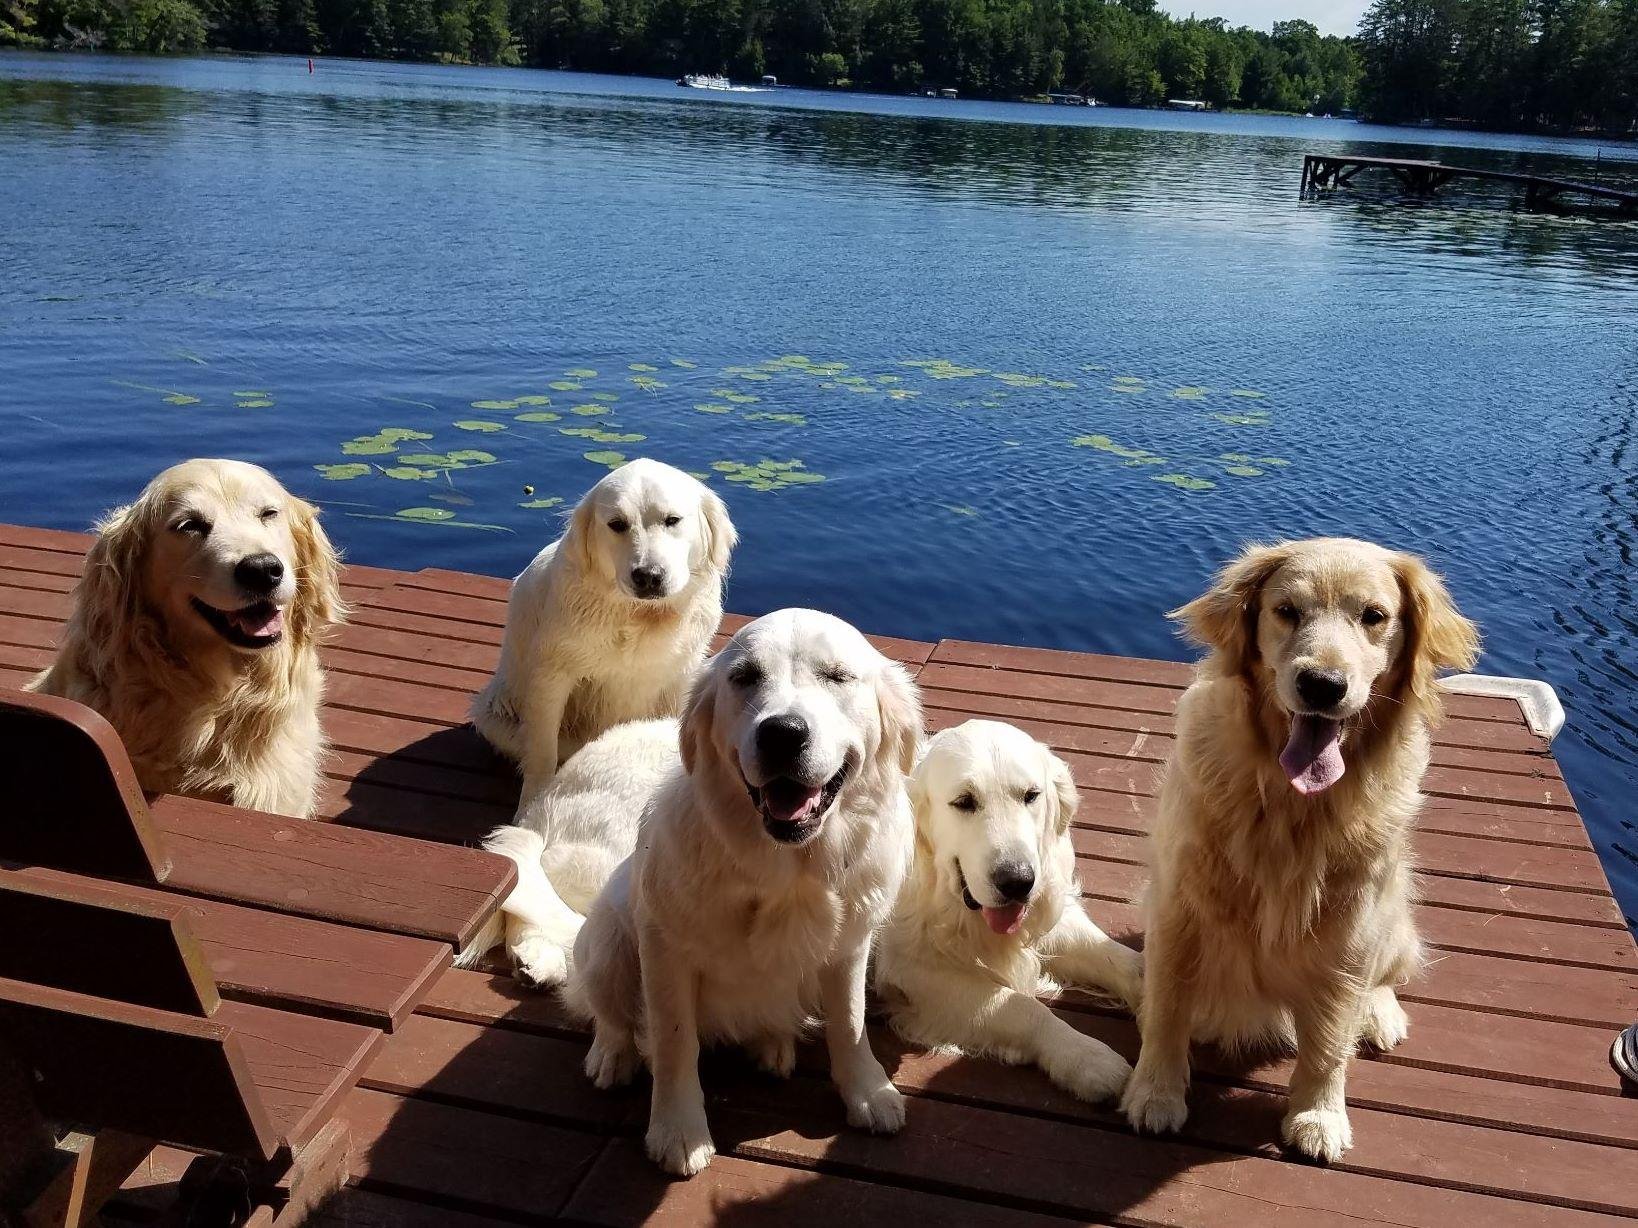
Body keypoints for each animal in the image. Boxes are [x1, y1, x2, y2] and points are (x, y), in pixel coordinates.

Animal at [468, 458, 737, 802]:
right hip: (495, 713)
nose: (648, 576)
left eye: (672, 520)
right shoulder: (551, 675)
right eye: (617, 524)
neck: (639, 616)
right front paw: (532, 803)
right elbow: (542, 750)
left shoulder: (683, 674)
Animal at [563, 612, 923, 1178]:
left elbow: (849, 1021)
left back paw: (773, 1045)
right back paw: (612, 1056)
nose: (783, 733)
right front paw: (679, 1130)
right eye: (745, 677)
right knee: (611, 1014)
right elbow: (673, 1042)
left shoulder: (849, 947)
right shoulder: (664, 948)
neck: (786, 871)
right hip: (607, 937)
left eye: (837, 676)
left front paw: (868, 1091)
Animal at [884, 717, 1140, 1100]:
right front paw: (1086, 1056)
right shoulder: (910, 968)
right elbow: (1020, 1006)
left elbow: (1123, 961)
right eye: (964, 802)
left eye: (1031, 796)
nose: (1017, 881)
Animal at [1120, 537, 1480, 1165]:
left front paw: (1319, 1115)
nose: (1323, 685)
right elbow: (1166, 1009)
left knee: (1384, 978)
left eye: (1375, 616)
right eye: (1286, 611)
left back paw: (1380, 1013)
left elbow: (1331, 1039)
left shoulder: (1350, 927)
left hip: (1392, 916)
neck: (1291, 802)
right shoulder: (1177, 907)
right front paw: (1156, 1093)